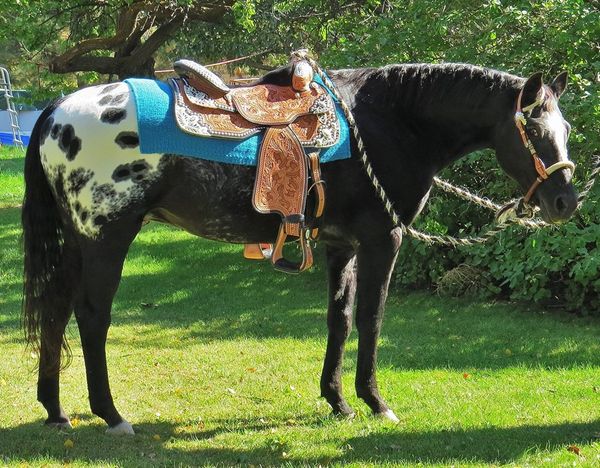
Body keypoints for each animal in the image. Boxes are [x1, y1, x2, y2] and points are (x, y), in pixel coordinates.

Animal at [21, 61, 580, 436]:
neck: (390, 121)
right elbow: (372, 318)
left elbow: (341, 318)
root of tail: (54, 112)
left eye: (566, 128)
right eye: (532, 127)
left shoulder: (341, 246)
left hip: (76, 241)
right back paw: (111, 415)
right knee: (91, 316)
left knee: (55, 309)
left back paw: (55, 410)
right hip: (105, 238)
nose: (565, 201)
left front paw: (338, 401)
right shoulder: (383, 241)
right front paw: (375, 402)